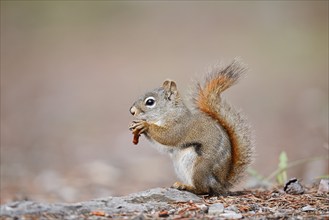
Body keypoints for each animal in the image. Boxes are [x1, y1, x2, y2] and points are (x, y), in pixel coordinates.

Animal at [128, 58, 254, 194]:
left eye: (150, 102)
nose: (132, 111)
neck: (168, 113)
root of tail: (220, 185)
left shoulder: (181, 125)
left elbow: (168, 136)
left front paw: (145, 125)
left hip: (199, 168)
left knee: (203, 189)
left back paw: (187, 187)